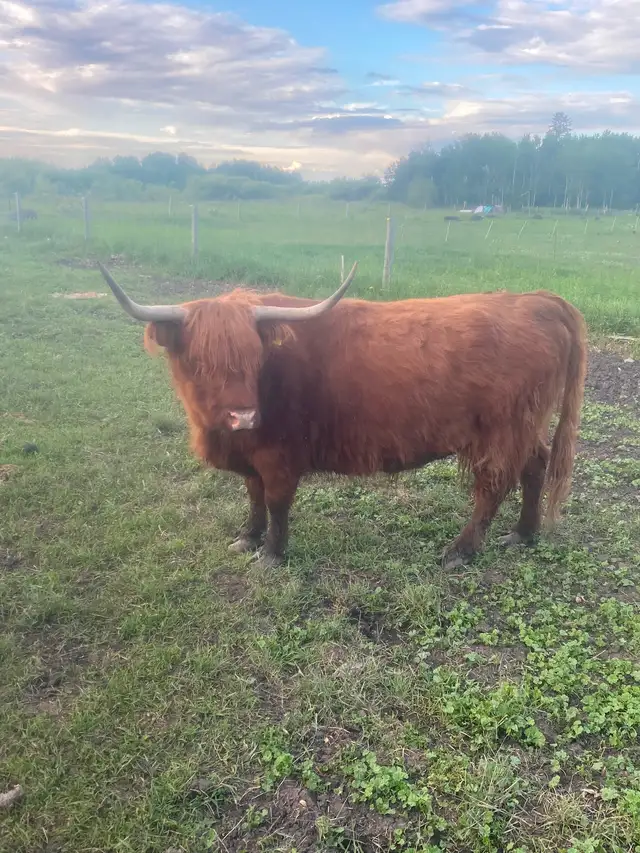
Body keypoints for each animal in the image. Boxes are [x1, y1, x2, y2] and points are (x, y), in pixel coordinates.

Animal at [97, 262, 587, 570]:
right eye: (198, 362)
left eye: (254, 357)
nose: (244, 416)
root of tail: (538, 300)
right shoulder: (252, 454)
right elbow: (253, 497)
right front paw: (247, 538)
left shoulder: (279, 455)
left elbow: (275, 501)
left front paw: (272, 553)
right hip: (523, 428)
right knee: (535, 466)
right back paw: (524, 533)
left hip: (501, 431)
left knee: (494, 485)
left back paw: (461, 551)